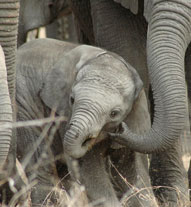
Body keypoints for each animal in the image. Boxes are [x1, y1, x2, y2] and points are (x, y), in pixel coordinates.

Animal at [16, 38, 157, 206]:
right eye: (72, 99)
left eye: (114, 114)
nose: (121, 129)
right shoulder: (64, 111)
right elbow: (88, 170)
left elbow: (133, 168)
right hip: (23, 106)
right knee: (41, 167)